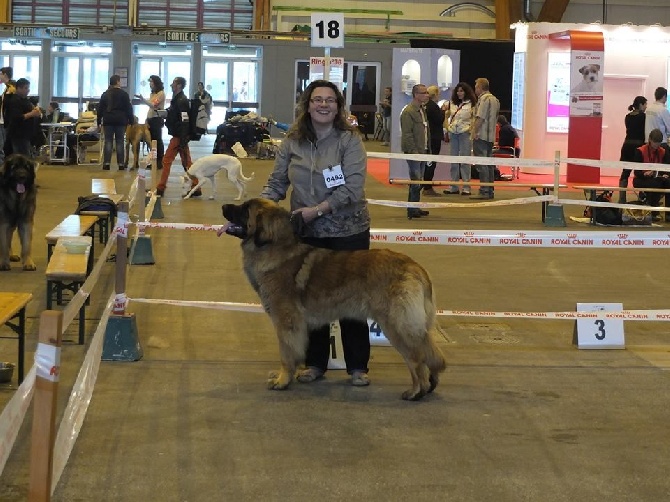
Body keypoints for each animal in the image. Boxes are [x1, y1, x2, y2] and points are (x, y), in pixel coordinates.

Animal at [220, 198, 448, 402]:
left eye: (245, 209)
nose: (223, 206)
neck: (273, 247)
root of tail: (415, 267)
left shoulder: (286, 321)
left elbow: (286, 353)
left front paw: (282, 380)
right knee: (431, 351)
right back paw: (431, 384)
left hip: (395, 325)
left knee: (416, 358)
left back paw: (416, 392)